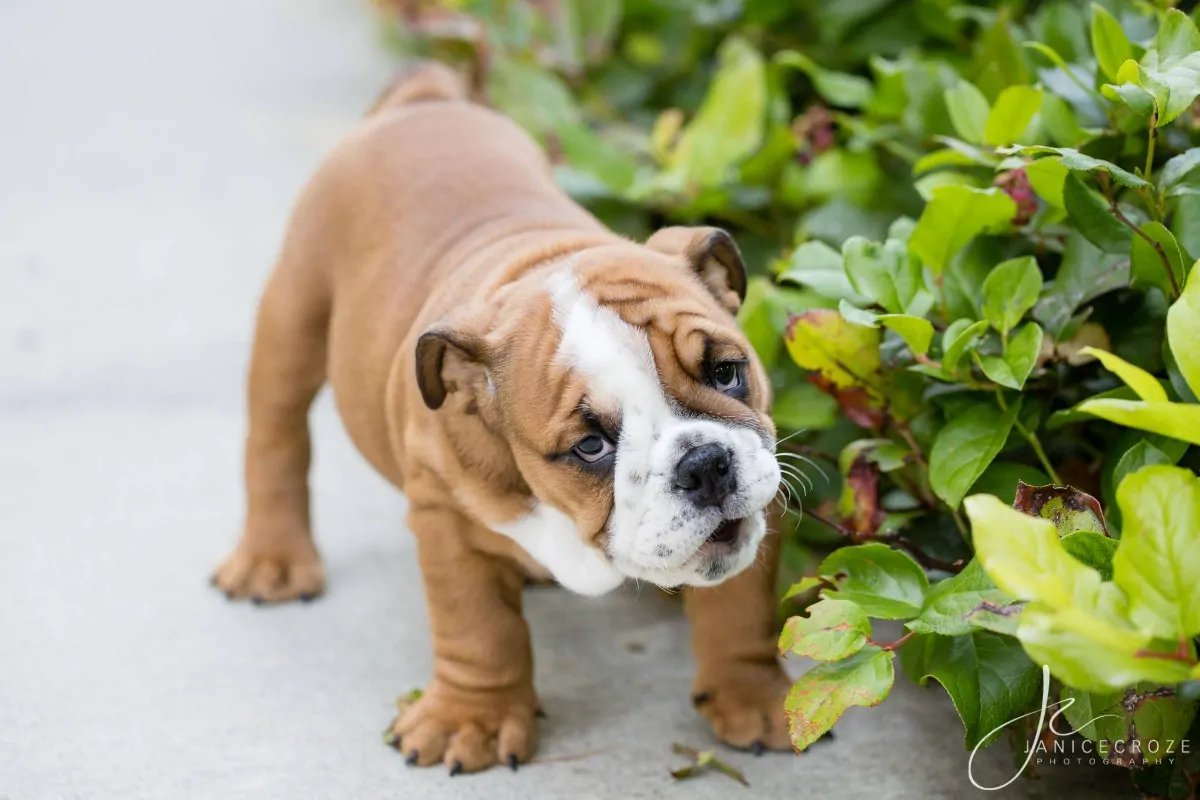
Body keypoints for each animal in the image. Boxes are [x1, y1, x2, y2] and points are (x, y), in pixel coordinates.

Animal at [213, 62, 796, 777]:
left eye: (725, 372)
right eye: (591, 447)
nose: (705, 465)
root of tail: (425, 101)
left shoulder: (760, 494)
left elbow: (740, 608)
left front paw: (753, 695)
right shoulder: (443, 519)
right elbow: (478, 627)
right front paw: (473, 720)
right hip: (293, 315)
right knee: (276, 436)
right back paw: (271, 560)